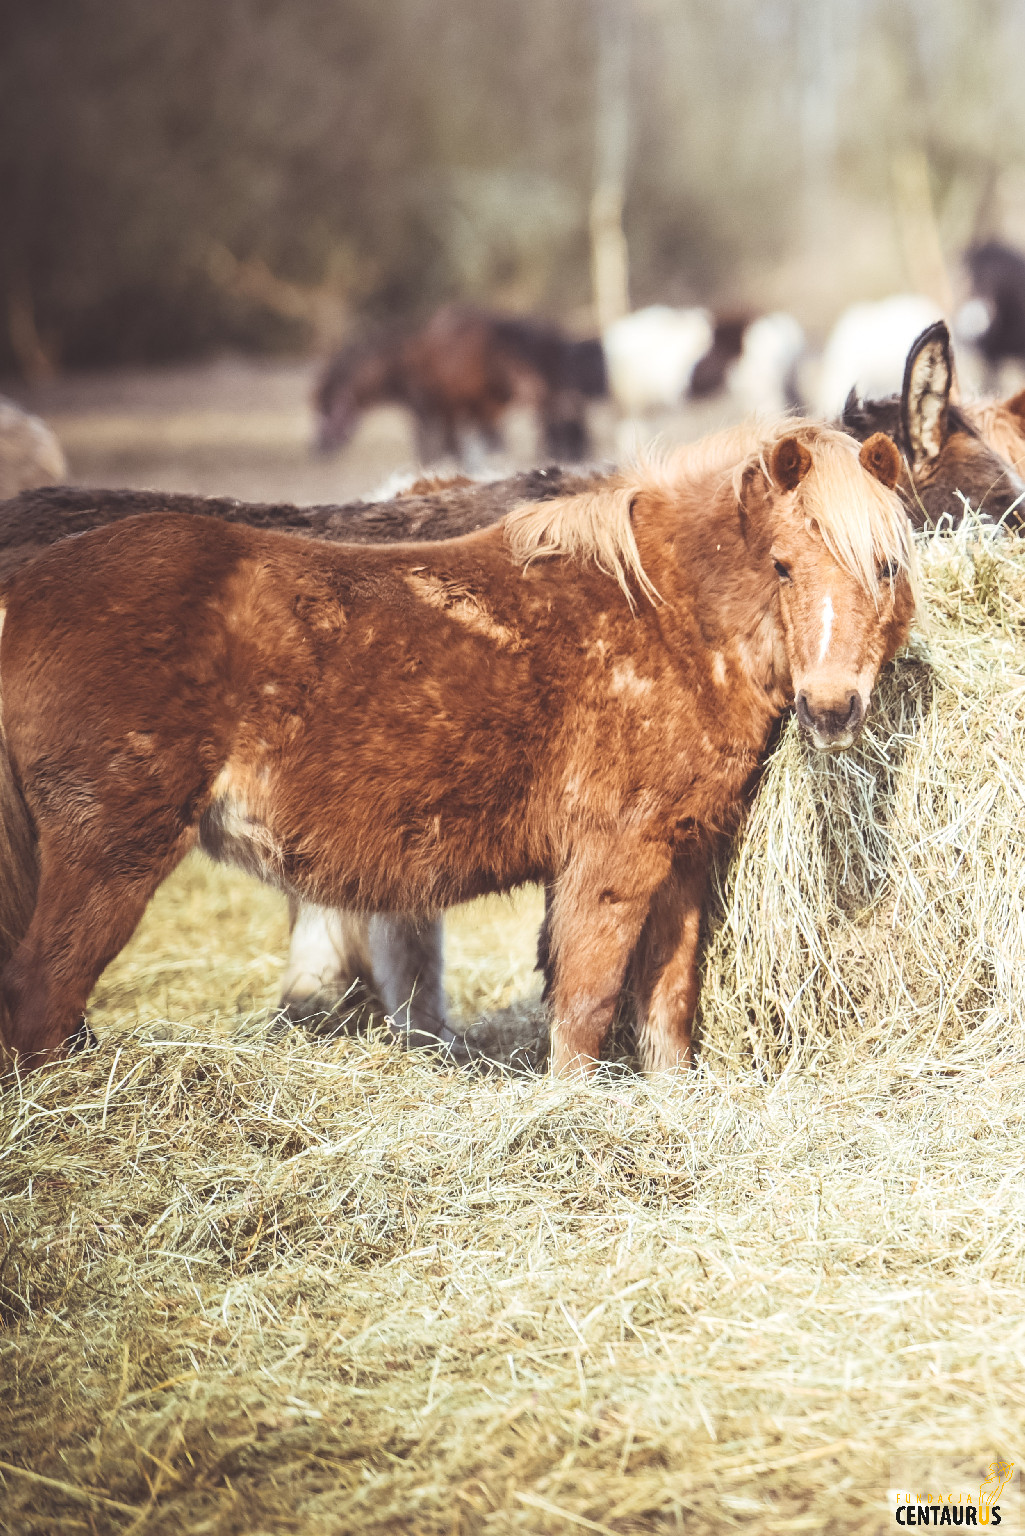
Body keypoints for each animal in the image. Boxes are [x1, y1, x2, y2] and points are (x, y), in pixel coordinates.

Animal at [0, 414, 915, 1075]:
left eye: (886, 567)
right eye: (783, 565)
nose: (832, 709)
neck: (666, 615)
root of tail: (27, 590)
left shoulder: (681, 860)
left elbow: (666, 1006)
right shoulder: (609, 861)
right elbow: (584, 1007)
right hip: (109, 858)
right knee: (43, 998)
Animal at [313, 301, 602, 460]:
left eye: (327, 409)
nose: (317, 448)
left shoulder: (437, 414)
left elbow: (443, 452)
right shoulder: (471, 413)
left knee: (560, 416)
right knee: (565, 415)